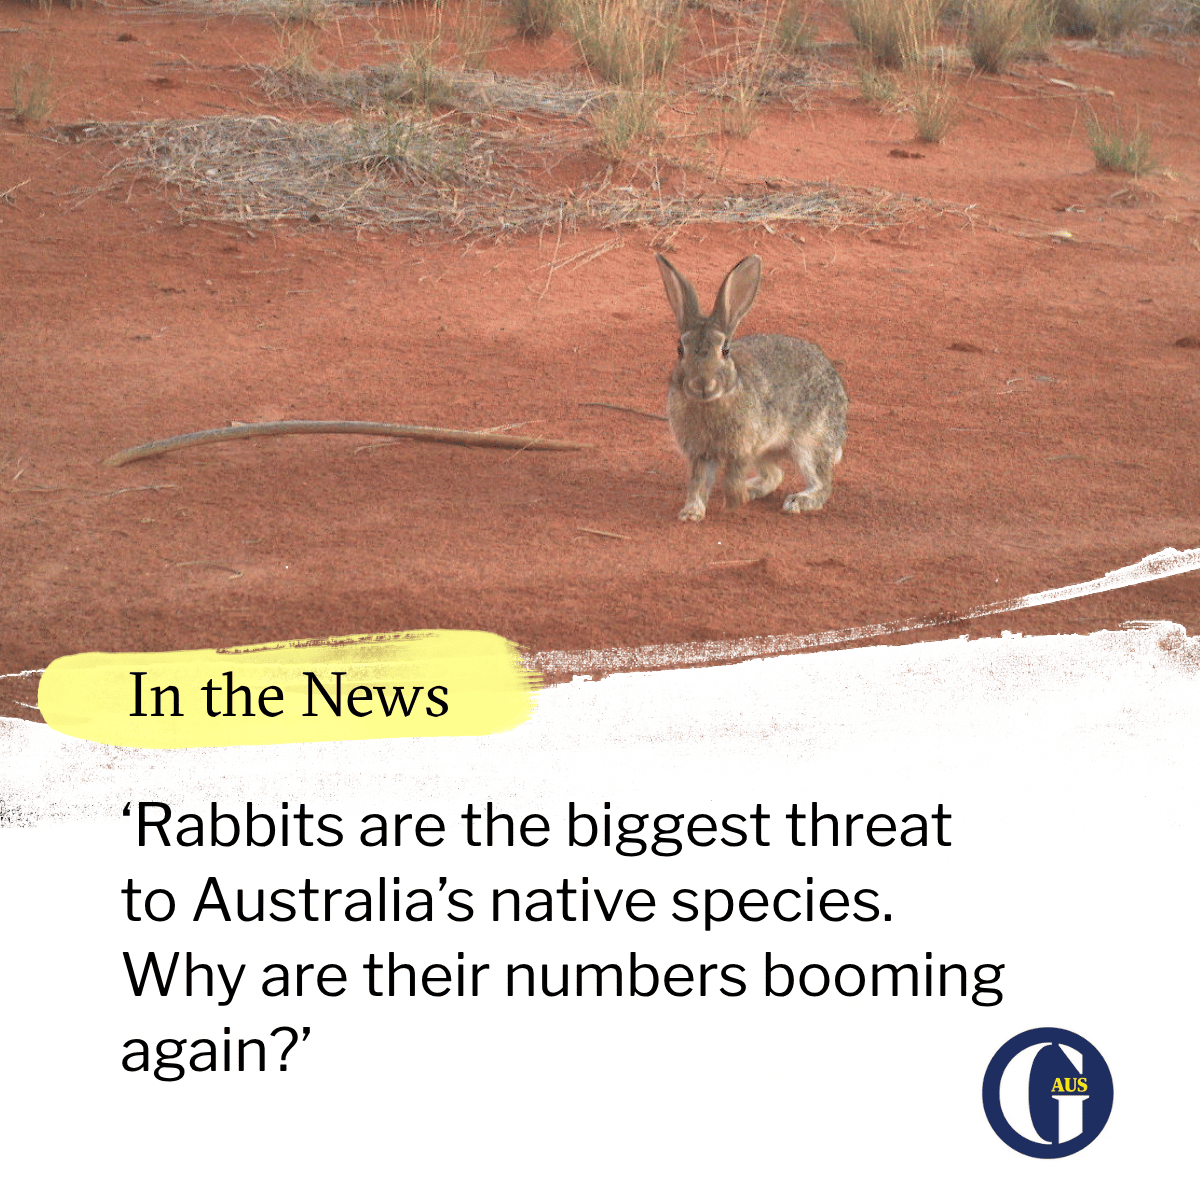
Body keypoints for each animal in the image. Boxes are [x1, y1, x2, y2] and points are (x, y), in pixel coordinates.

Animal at [655, 253, 848, 522]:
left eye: (725, 350)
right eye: (680, 350)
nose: (702, 384)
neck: (710, 403)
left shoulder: (742, 449)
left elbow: (731, 477)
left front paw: (733, 503)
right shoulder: (701, 453)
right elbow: (697, 483)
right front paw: (691, 512)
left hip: (810, 441)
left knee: (821, 482)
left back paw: (797, 501)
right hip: (766, 452)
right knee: (775, 475)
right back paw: (752, 489)